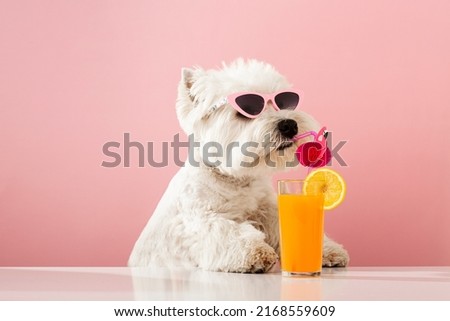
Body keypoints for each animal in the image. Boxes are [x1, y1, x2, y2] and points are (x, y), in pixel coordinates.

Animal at [128, 58, 350, 272]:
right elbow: (229, 231)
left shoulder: (268, 210)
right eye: (246, 112)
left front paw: (327, 250)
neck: (237, 179)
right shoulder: (201, 218)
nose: (289, 125)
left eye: (284, 102)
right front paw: (257, 253)